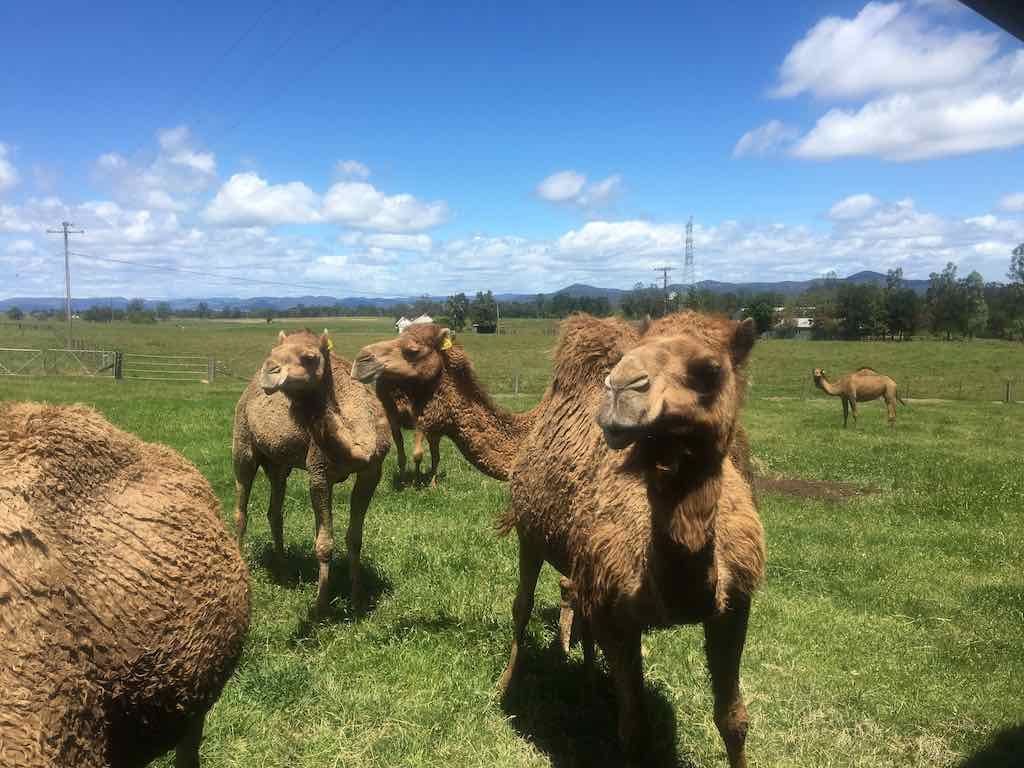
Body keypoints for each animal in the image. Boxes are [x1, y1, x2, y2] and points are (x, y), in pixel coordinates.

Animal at [233, 329, 390, 614]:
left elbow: (355, 538)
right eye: (272, 352)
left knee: (275, 511)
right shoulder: (319, 472)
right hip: (243, 447)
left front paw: (357, 598)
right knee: (241, 509)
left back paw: (284, 572)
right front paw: (321, 606)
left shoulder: (372, 471)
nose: (269, 371)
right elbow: (324, 543)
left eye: (309, 357)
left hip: (279, 464)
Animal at [496, 312, 764, 767]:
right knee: (522, 604)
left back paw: (588, 688)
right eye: (633, 351)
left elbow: (733, 718)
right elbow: (634, 727)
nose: (621, 386)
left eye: (710, 369)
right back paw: (507, 684)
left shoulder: (735, 604)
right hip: (529, 530)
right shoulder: (615, 611)